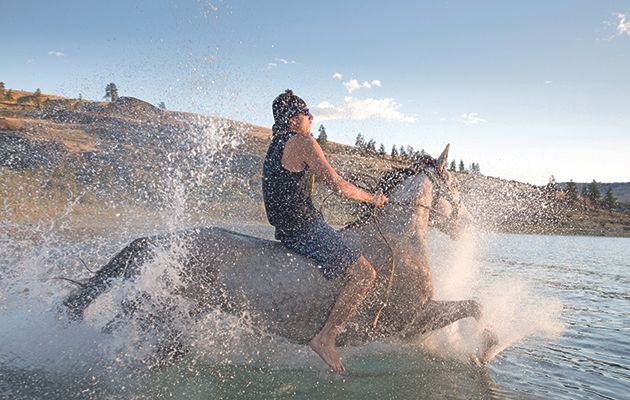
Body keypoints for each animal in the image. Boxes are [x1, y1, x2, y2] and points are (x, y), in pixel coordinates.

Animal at [63, 145, 498, 364]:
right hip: (161, 312)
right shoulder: (408, 319)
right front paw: (486, 352)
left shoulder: (409, 323)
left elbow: (473, 306)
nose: (468, 223)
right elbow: (474, 307)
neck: (394, 242)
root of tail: (162, 242)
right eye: (453, 183)